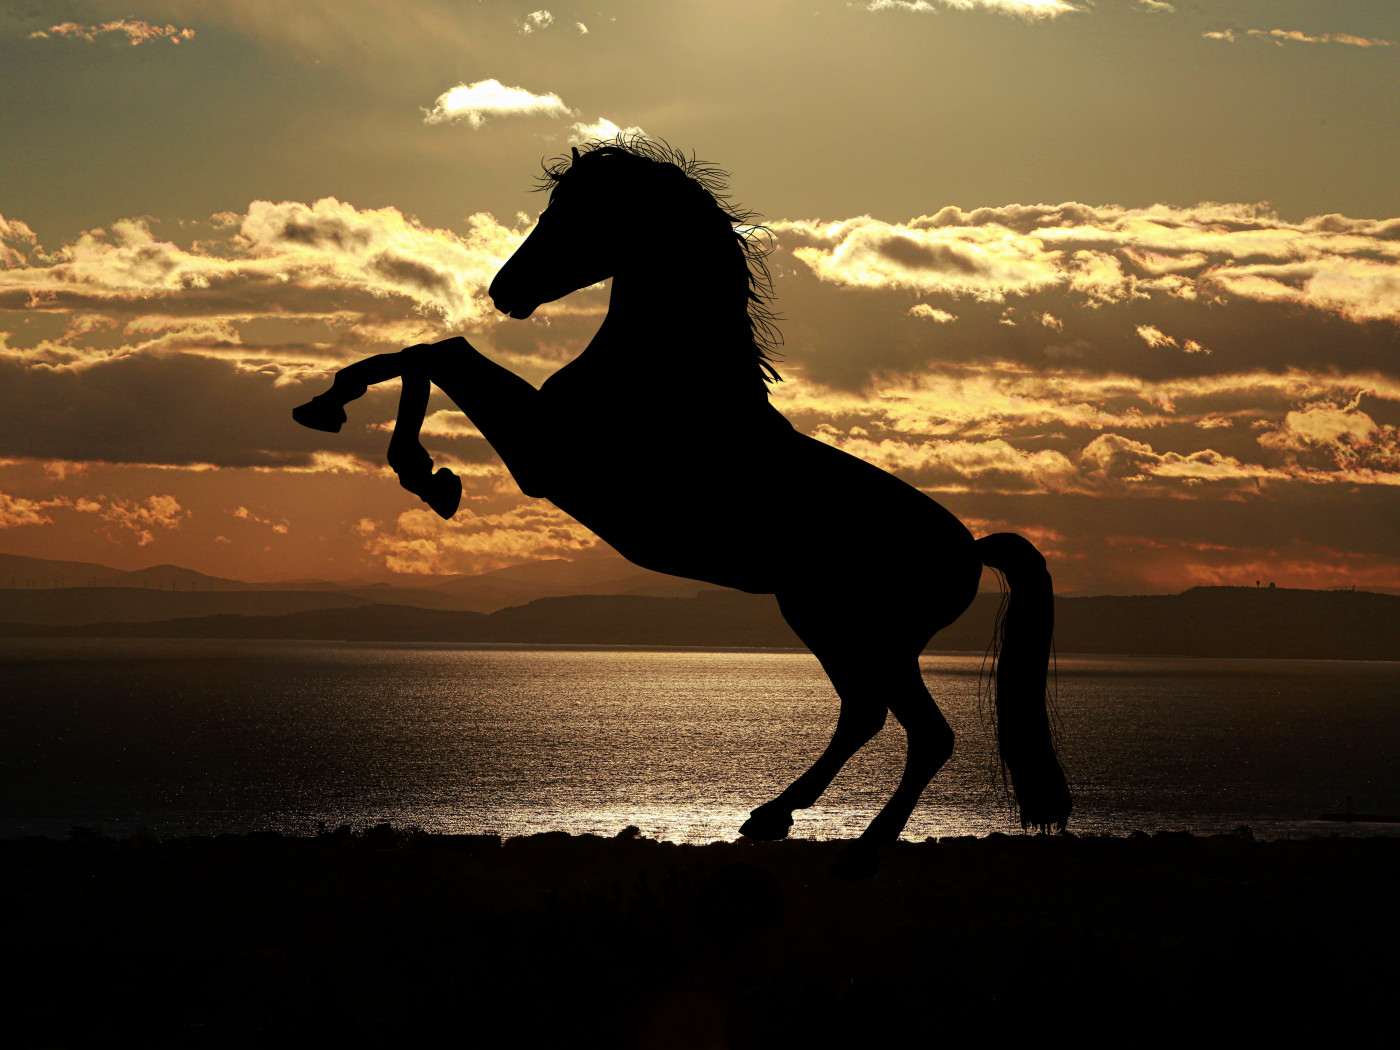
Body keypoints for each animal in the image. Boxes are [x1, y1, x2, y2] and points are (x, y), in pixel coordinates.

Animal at [293, 137, 1070, 877]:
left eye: (577, 212)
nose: (504, 289)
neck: (666, 376)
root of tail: (970, 549)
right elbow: (425, 350)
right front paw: (335, 409)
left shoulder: (544, 455)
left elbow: (439, 352)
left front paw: (421, 470)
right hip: (823, 619)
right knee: (864, 714)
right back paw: (771, 817)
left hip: (869, 633)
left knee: (923, 733)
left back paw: (858, 851)